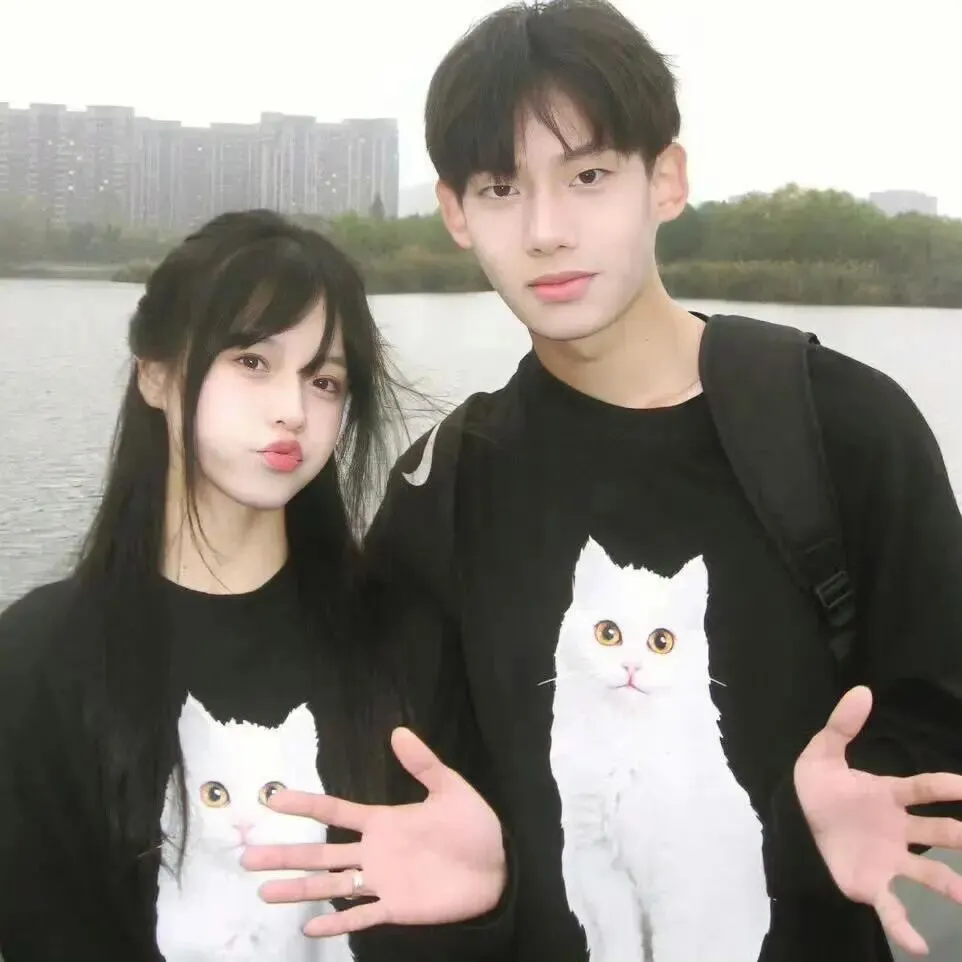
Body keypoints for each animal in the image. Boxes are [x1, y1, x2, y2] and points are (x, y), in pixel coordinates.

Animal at [548, 538, 770, 962]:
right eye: (608, 634)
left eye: (661, 642)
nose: (631, 667)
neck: (626, 746)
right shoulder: (602, 868)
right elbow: (623, 944)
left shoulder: (679, 873)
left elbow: (674, 947)